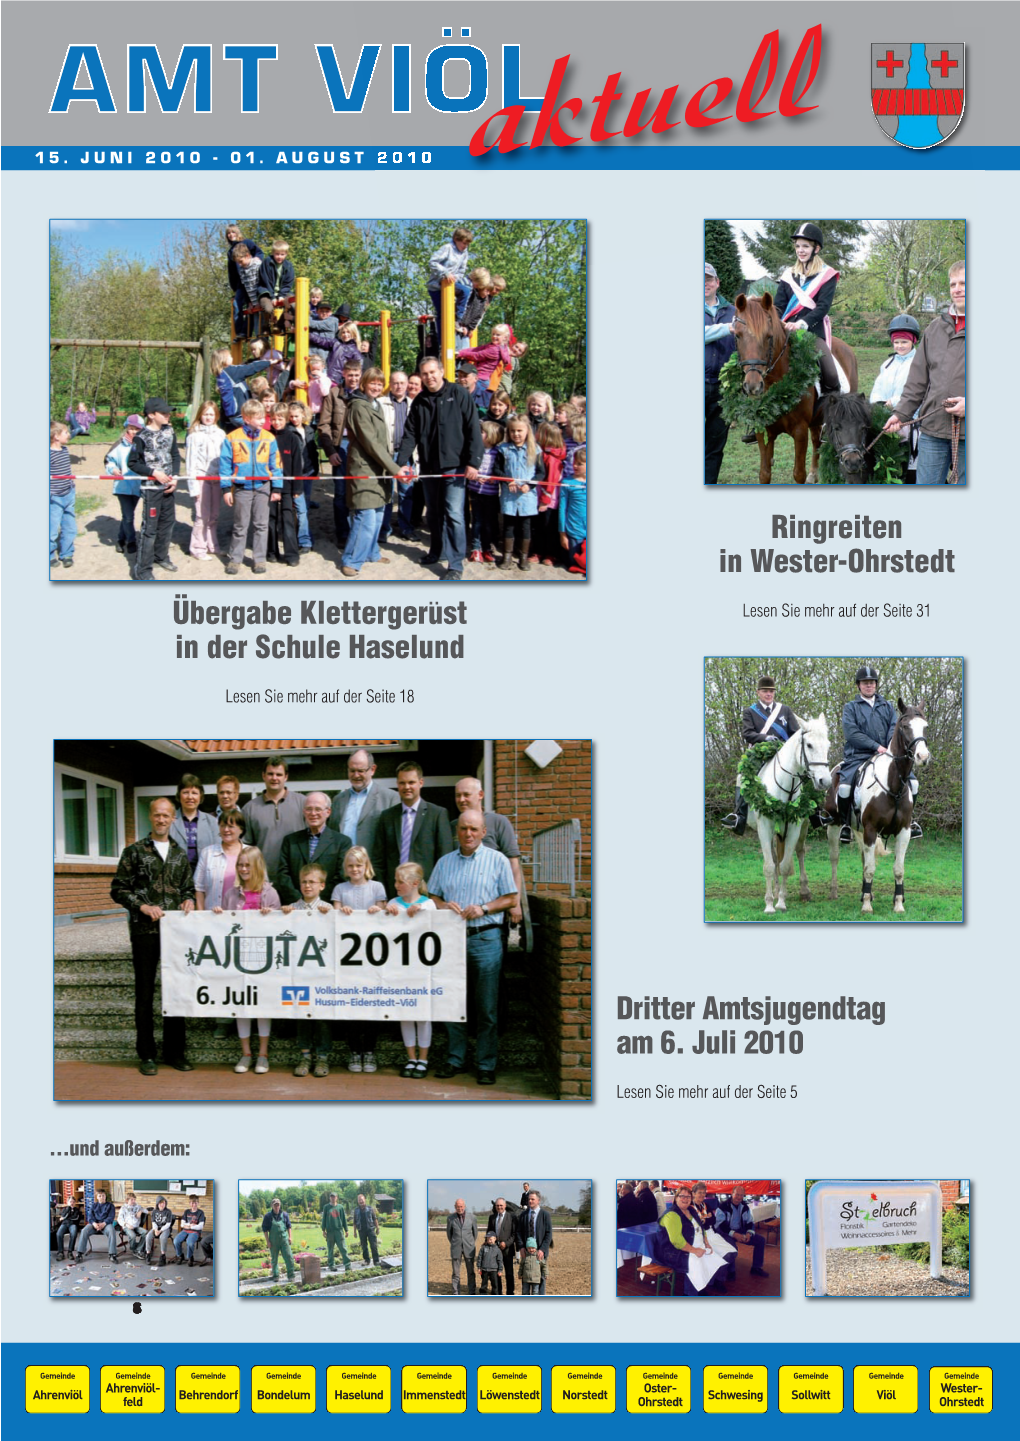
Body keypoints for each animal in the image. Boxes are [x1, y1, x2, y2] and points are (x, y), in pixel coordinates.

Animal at [737, 289, 858, 487]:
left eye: (769, 336)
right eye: (737, 335)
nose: (753, 386)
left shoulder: (800, 431)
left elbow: (798, 474)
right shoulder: (763, 431)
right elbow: (764, 474)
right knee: (817, 440)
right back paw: (814, 474)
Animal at [743, 717, 835, 916]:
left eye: (827, 745)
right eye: (809, 745)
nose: (825, 781)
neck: (787, 786)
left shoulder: (794, 827)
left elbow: (785, 866)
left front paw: (781, 903)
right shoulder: (764, 827)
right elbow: (769, 866)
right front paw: (770, 904)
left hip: (803, 827)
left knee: (799, 852)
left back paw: (803, 891)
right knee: (774, 858)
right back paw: (776, 891)